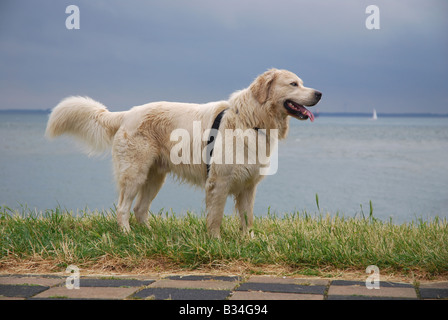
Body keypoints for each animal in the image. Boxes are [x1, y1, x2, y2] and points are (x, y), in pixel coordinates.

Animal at [46, 68, 322, 238]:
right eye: (293, 84)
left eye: (302, 83)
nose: (319, 93)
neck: (249, 119)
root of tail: (127, 113)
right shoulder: (218, 182)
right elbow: (215, 217)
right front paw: (215, 241)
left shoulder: (248, 185)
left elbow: (248, 219)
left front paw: (249, 241)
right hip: (134, 173)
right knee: (123, 208)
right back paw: (127, 234)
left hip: (155, 177)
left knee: (140, 209)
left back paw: (150, 235)